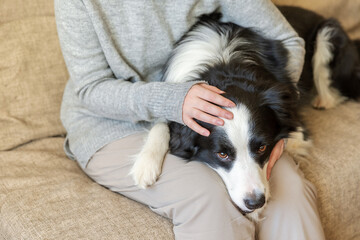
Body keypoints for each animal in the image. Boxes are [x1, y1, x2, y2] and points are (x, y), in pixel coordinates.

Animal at [131, 6, 360, 220]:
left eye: (262, 148)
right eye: (222, 154)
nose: (255, 202)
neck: (224, 63)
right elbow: (163, 122)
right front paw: (146, 164)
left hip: (327, 33)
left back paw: (322, 100)